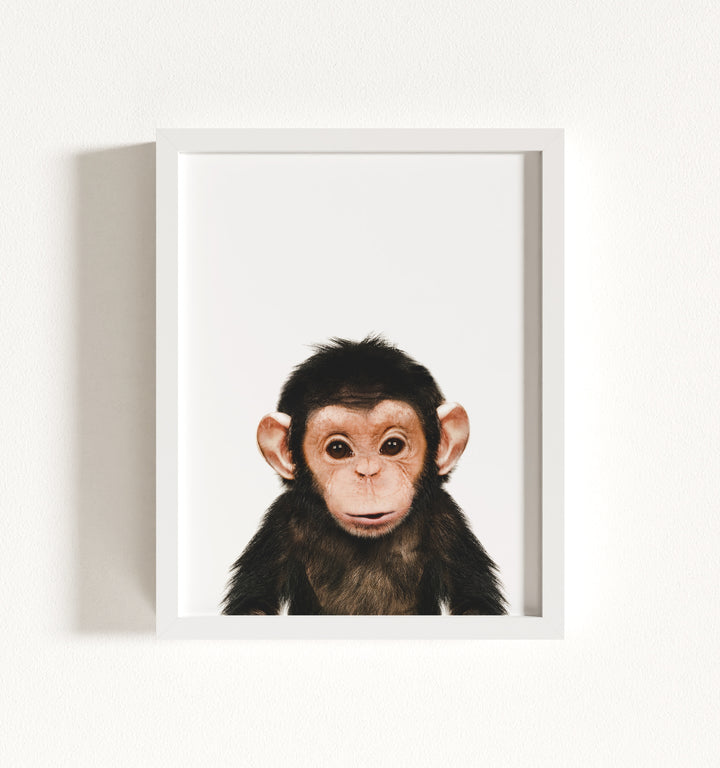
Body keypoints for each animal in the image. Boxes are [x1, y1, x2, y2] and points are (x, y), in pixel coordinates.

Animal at [222, 336, 506, 615]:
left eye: (392, 446)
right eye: (338, 449)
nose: (368, 472)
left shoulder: (447, 521)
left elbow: (474, 604)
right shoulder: (281, 523)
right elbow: (254, 605)